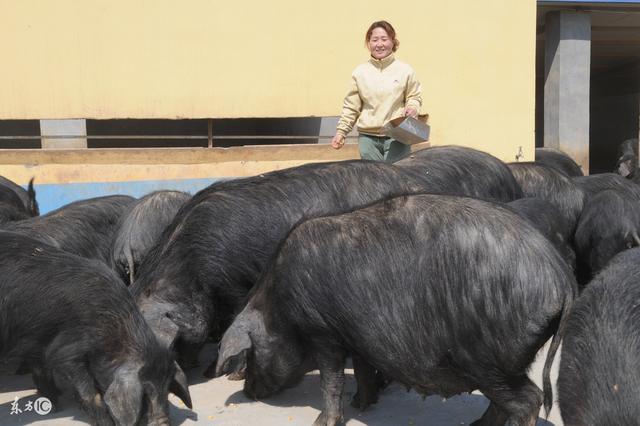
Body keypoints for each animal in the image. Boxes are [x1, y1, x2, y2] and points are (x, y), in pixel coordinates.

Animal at [0, 230, 190, 426]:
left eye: (167, 388)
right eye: (145, 393)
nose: (163, 422)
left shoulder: (38, 343)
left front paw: (53, 402)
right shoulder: (67, 352)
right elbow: (89, 392)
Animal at [215, 195, 576, 426]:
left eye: (250, 355)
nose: (247, 392)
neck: (278, 305)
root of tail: (561, 276)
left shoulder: (322, 332)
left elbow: (330, 379)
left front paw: (322, 421)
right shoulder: (357, 334)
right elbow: (362, 368)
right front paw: (363, 403)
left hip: (487, 358)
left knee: (527, 399)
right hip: (501, 362)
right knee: (504, 402)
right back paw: (476, 424)